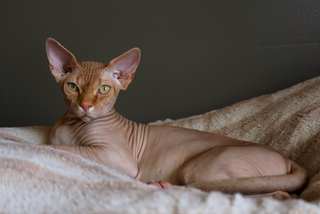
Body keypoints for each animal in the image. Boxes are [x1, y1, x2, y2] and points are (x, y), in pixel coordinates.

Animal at [46, 38, 308, 199]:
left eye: (103, 90)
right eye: (72, 87)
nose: (85, 106)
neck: (74, 125)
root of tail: (288, 159)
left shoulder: (120, 159)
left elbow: (64, 149)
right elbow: (57, 146)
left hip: (199, 169)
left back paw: (164, 185)